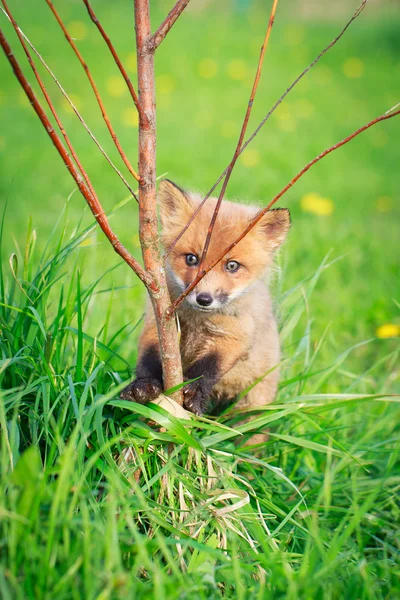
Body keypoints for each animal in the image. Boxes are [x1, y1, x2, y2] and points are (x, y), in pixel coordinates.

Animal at [121, 179, 290, 426]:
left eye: (232, 265)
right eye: (192, 258)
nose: (204, 298)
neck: (198, 319)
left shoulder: (233, 336)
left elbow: (207, 367)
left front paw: (195, 392)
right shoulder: (159, 323)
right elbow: (148, 359)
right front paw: (143, 385)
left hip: (250, 408)